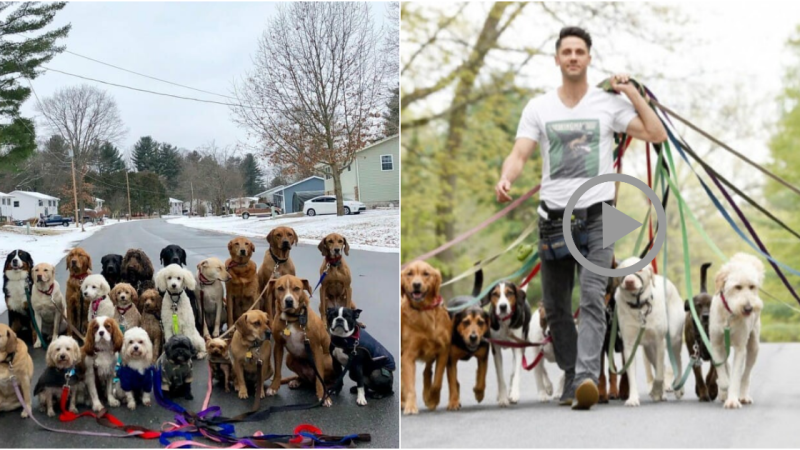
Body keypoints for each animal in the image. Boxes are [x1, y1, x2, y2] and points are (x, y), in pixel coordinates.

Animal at [268, 274, 332, 408]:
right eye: (280, 288)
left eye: (297, 288)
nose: (289, 301)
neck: (292, 318)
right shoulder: (278, 345)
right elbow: (277, 370)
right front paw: (274, 387)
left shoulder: (316, 348)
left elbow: (320, 376)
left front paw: (323, 396)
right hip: (289, 359)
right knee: (304, 378)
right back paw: (297, 381)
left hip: (327, 359)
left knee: (325, 380)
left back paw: (328, 389)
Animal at [400, 260, 450, 414]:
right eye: (409, 273)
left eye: (426, 274)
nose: (416, 284)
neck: (424, 310)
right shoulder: (408, 356)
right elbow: (409, 385)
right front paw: (410, 406)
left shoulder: (443, 351)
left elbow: (438, 381)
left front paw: (432, 399)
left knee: (427, 371)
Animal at [612, 256, 680, 408]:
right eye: (623, 269)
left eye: (640, 269)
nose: (629, 281)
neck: (639, 306)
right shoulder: (629, 345)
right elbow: (632, 374)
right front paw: (633, 398)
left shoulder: (659, 342)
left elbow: (659, 375)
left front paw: (656, 391)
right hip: (649, 350)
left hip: (673, 340)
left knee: (676, 363)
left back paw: (678, 389)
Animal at [712, 251, 764, 410]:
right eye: (737, 287)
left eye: (752, 286)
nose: (749, 308)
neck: (730, 314)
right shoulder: (715, 344)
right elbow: (721, 371)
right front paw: (724, 387)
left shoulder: (741, 348)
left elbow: (736, 376)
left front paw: (732, 400)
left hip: (754, 347)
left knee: (746, 375)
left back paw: (743, 396)